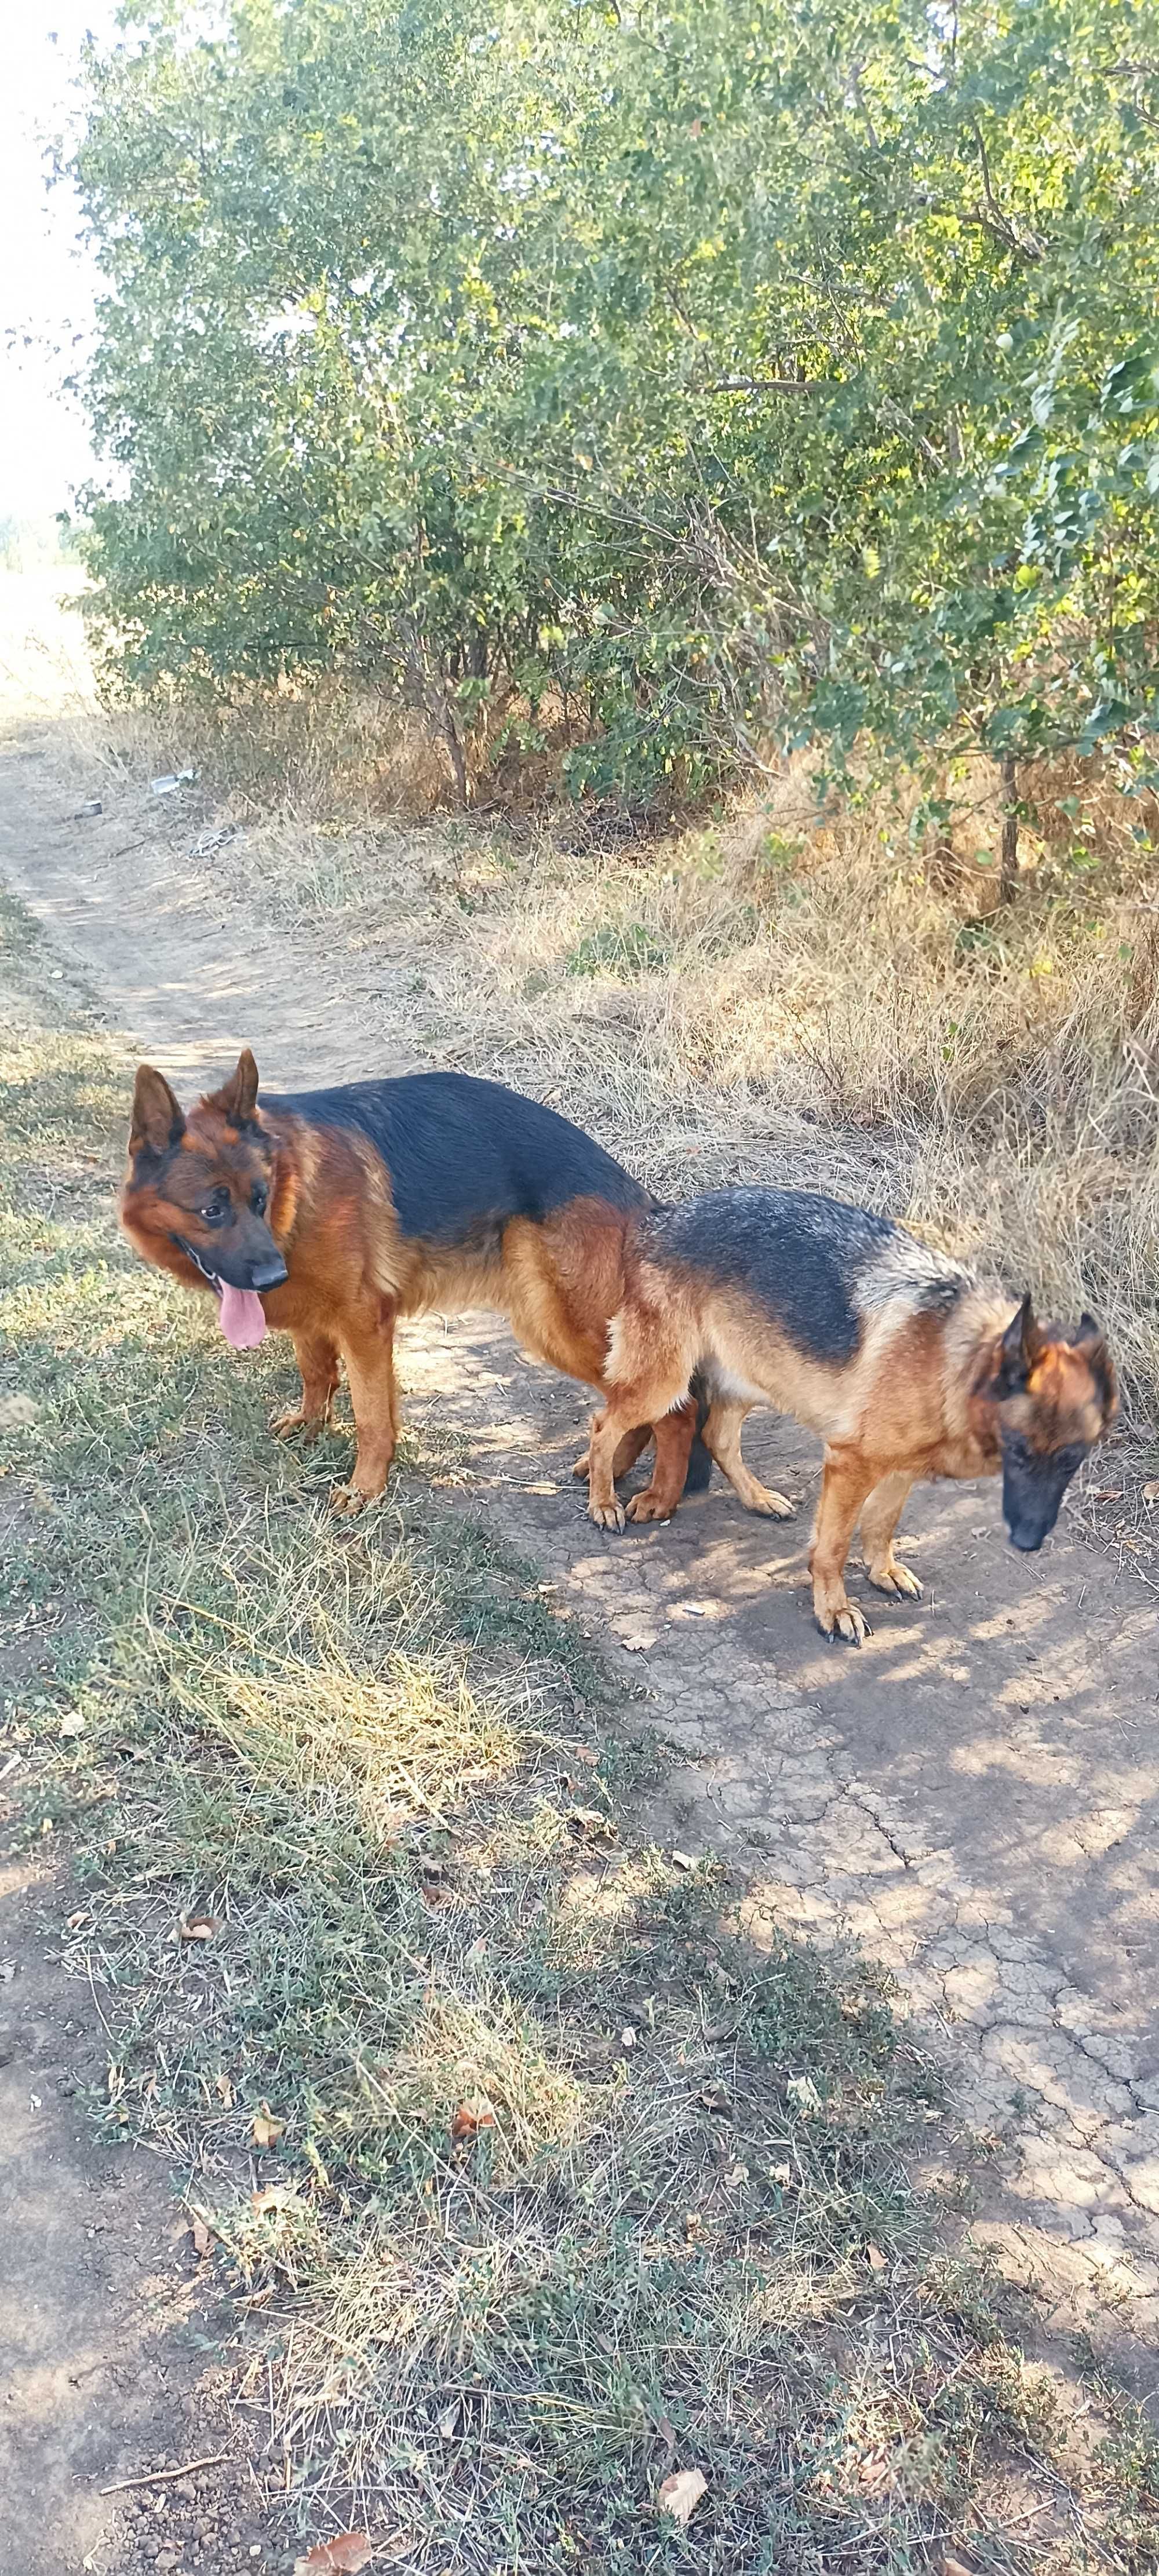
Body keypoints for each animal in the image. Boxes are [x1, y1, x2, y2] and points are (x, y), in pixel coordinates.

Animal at [119, 1041, 716, 1504]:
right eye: (212, 1211)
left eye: (259, 1199)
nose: (270, 1278)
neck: (297, 1190)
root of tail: (643, 1204)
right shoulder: (317, 1317)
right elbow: (318, 1374)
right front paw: (313, 1427)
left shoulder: (363, 1324)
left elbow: (371, 1416)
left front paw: (365, 1489)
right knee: (640, 1409)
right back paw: (609, 1470)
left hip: (562, 1326)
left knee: (677, 1409)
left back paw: (658, 1499)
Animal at [580, 1190, 1113, 1648]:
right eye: (1018, 1451)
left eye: (1071, 1462)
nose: (1029, 1541)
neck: (956, 1362)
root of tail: (660, 1219)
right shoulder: (851, 1465)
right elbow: (832, 1548)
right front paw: (834, 1610)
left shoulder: (901, 1469)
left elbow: (881, 1526)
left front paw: (883, 1572)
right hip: (664, 1385)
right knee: (604, 1425)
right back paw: (603, 1502)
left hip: (755, 1378)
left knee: (716, 1435)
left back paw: (758, 1498)